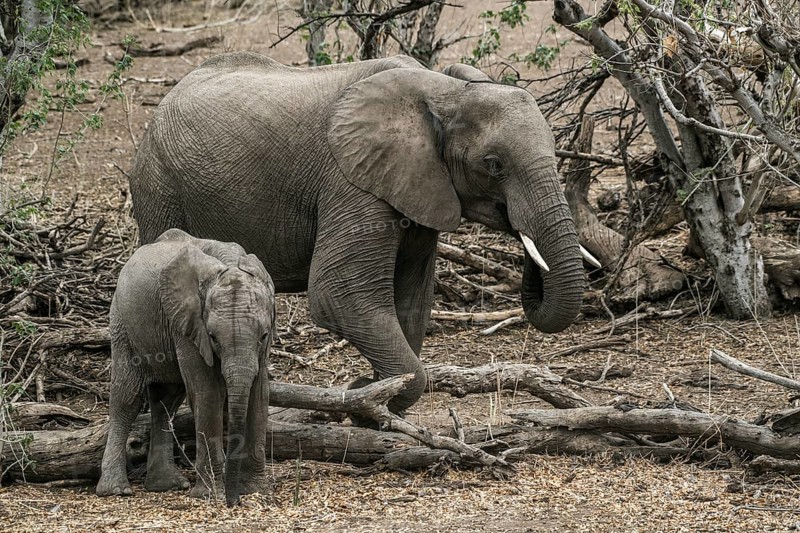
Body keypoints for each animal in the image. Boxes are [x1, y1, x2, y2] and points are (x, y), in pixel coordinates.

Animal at [96, 229, 276, 506]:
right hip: (122, 322)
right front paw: (211, 494)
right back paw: (116, 490)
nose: (233, 501)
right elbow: (207, 393)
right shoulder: (188, 325)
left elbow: (259, 394)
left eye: (264, 335)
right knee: (127, 397)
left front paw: (255, 490)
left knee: (166, 399)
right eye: (212, 337)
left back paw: (166, 485)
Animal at [129, 52, 594, 414]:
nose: (518, 228)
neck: (445, 89)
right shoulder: (352, 181)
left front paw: (373, 396)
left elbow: (412, 300)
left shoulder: (417, 188)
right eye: (494, 164)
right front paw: (364, 396)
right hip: (158, 185)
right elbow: (339, 294)